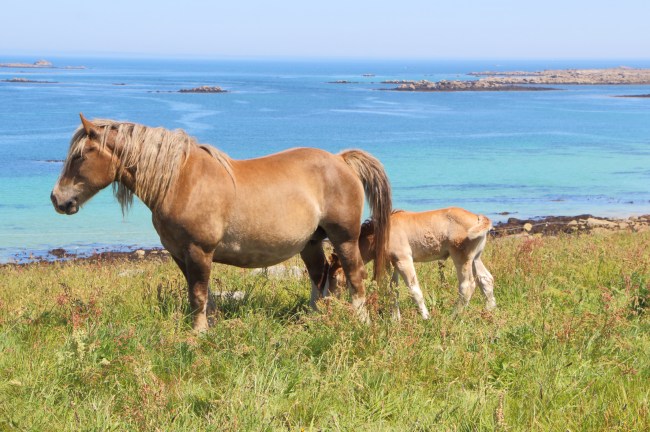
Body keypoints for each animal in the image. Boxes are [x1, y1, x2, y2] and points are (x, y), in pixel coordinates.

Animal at [51, 115, 391, 332]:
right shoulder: (180, 254)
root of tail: (340, 160)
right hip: (310, 242)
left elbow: (198, 293)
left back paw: (361, 322)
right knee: (321, 278)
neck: (180, 181)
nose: (57, 199)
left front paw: (198, 333)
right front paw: (208, 326)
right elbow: (201, 295)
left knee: (353, 276)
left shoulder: (199, 250)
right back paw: (314, 319)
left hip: (344, 238)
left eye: (80, 156)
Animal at [322, 207, 496, 319]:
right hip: (476, 258)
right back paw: (489, 311)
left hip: (461, 257)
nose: (327, 299)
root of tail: (477, 217)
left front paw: (426, 317)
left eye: (334, 276)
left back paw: (453, 316)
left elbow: (414, 289)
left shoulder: (404, 259)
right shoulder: (394, 262)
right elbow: (394, 290)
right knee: (486, 279)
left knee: (467, 285)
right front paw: (395, 319)